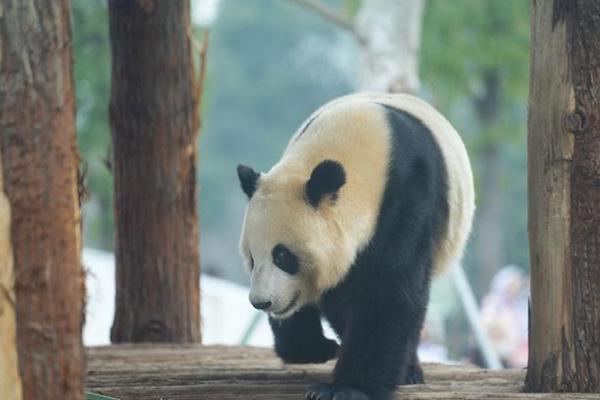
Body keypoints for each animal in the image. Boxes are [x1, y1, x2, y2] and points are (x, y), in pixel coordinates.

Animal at [234, 91, 474, 400]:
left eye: (283, 256)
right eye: (252, 259)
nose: (261, 302)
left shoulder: (407, 199)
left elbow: (387, 290)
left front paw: (345, 389)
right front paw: (317, 350)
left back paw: (408, 371)